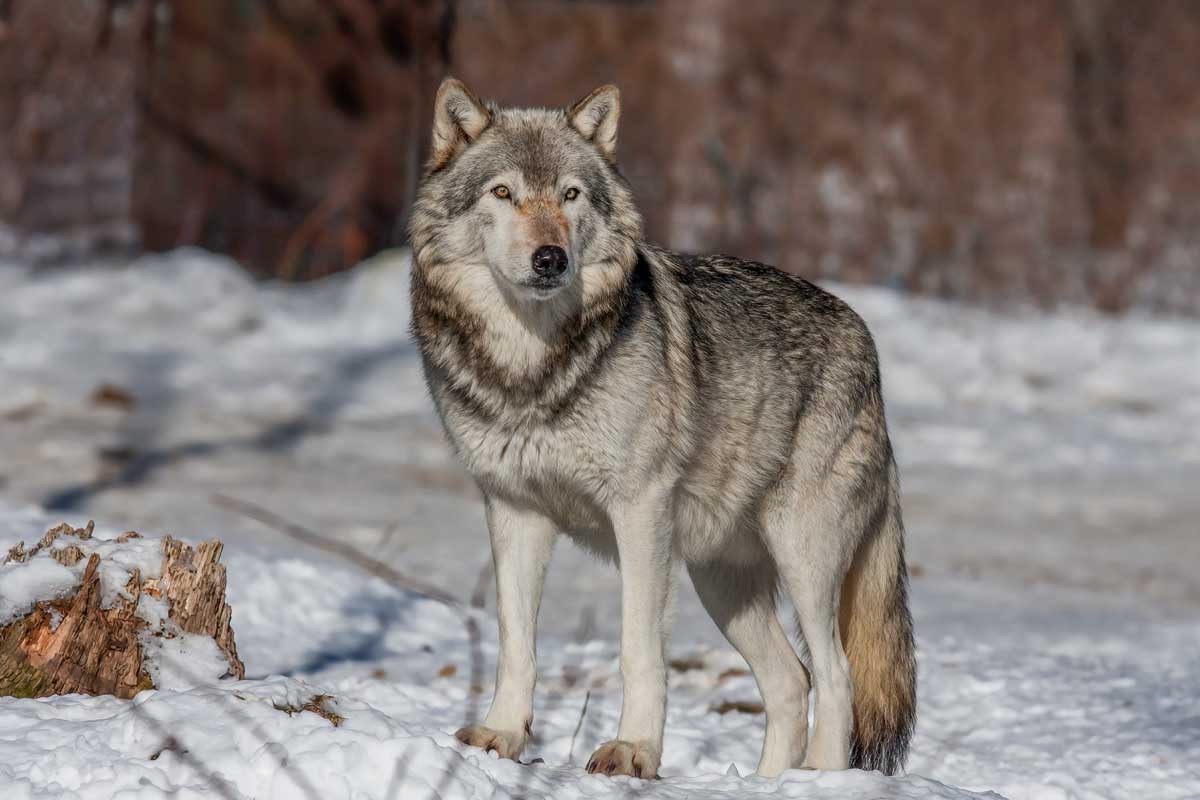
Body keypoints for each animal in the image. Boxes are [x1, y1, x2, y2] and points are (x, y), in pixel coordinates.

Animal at [408, 78, 916, 779]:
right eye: (502, 193)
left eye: (571, 194)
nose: (550, 258)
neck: (533, 371)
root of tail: (866, 343)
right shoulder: (514, 510)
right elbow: (516, 642)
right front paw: (501, 735)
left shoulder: (640, 512)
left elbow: (637, 649)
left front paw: (634, 751)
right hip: (719, 581)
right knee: (793, 682)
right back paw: (768, 785)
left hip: (801, 556)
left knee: (835, 676)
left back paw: (818, 780)